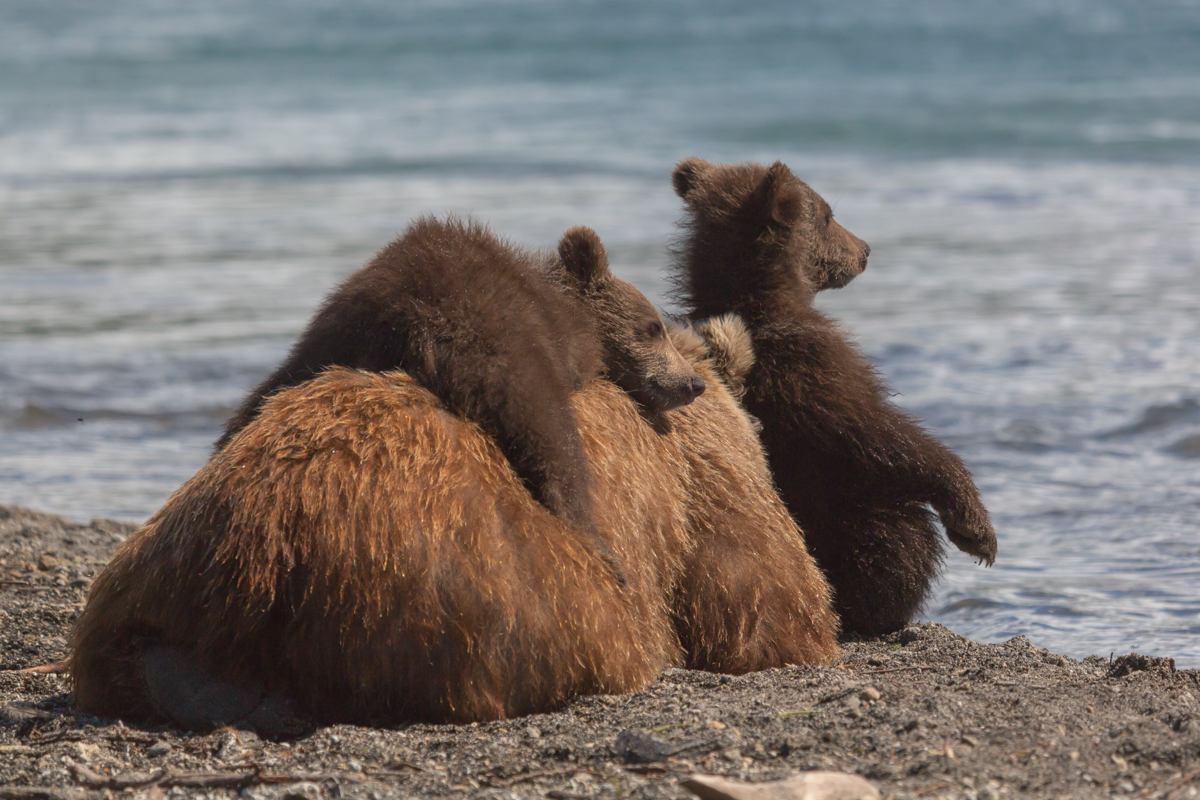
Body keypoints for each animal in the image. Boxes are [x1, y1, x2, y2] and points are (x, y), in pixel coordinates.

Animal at [672, 158, 998, 638]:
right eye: (827, 214)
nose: (865, 249)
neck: (766, 301)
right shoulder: (816, 371)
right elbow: (880, 435)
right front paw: (975, 528)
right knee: (902, 533)